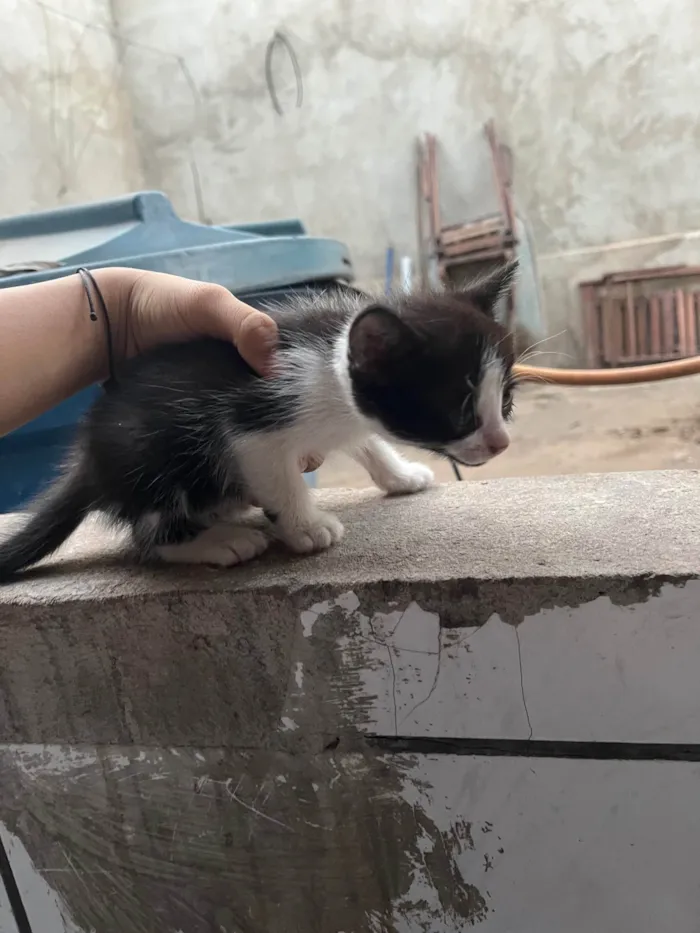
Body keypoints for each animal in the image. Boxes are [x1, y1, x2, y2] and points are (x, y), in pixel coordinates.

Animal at [0, 258, 516, 572]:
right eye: (459, 409)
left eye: (506, 401)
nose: (501, 443)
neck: (332, 363)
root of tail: (89, 459)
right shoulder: (252, 422)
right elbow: (280, 476)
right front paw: (306, 526)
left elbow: (366, 440)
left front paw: (400, 475)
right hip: (149, 450)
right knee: (149, 531)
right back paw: (218, 541)